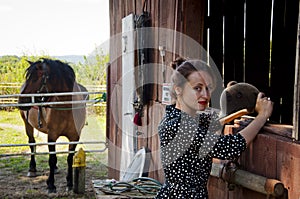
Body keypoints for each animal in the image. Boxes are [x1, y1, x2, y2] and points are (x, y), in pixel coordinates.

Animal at [18, 58, 88, 194]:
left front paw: (69, 183)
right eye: (27, 77)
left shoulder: (74, 137)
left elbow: (69, 158)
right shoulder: (51, 136)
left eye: (36, 78)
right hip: (27, 124)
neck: (67, 107)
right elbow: (51, 159)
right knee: (32, 143)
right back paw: (32, 169)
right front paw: (50, 185)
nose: (21, 101)